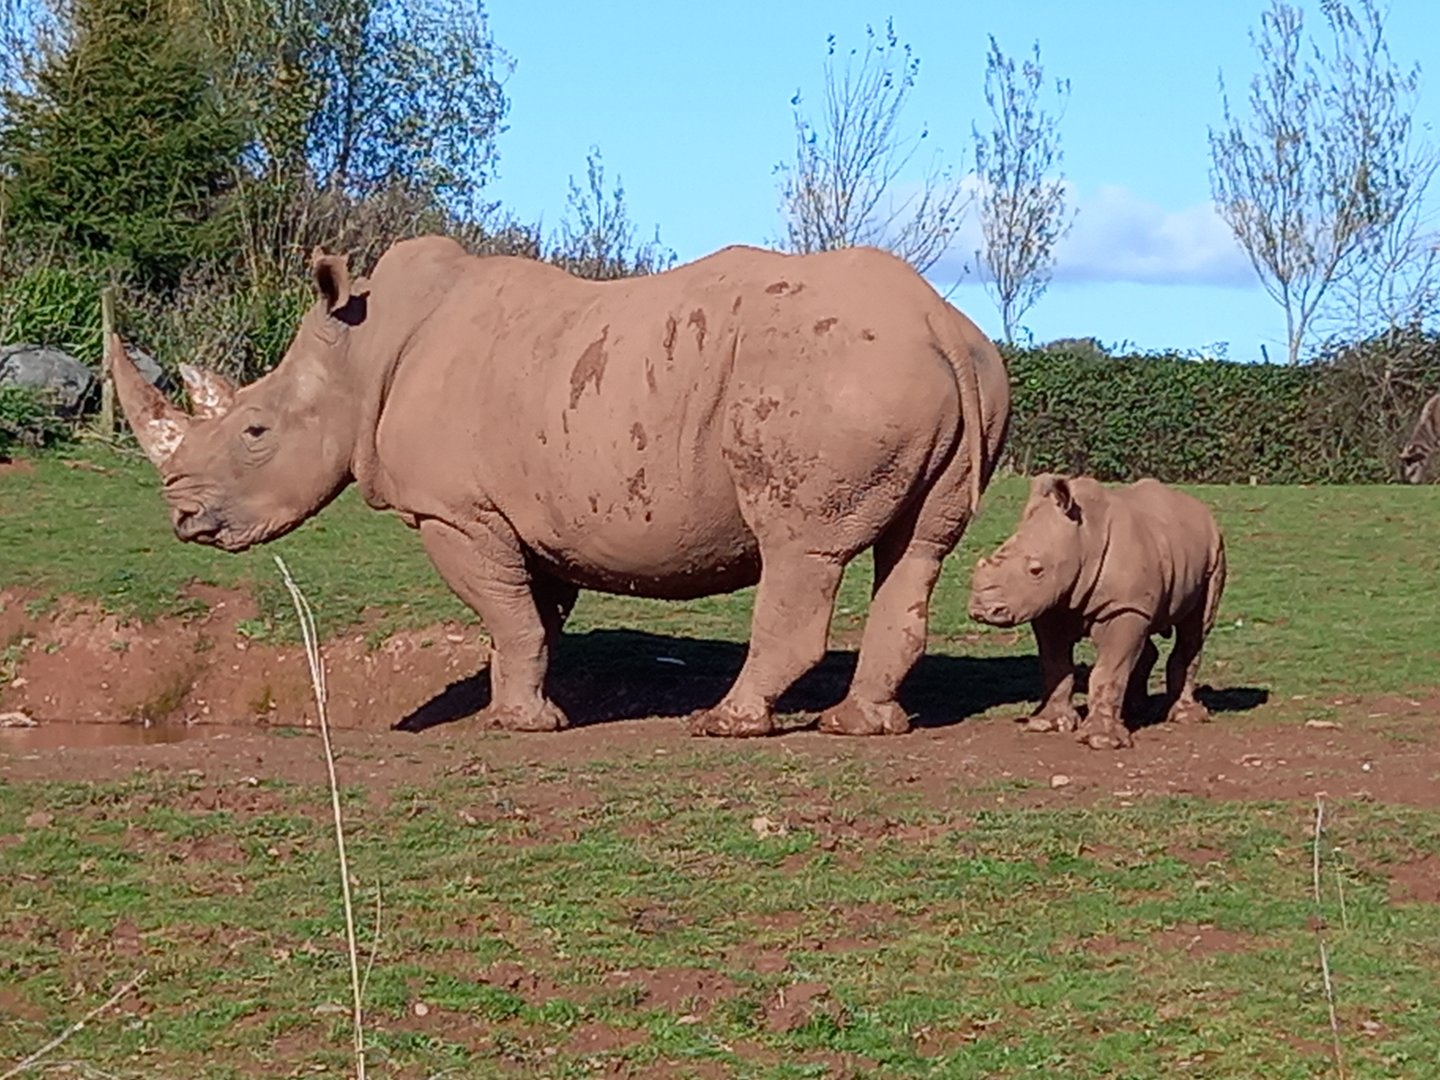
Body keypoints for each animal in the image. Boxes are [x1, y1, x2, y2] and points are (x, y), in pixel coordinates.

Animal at [108, 237, 1011, 737]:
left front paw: (519, 723)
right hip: (929, 373)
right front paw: (524, 708)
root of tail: (939, 325)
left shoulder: (454, 512)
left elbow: (507, 615)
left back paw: (723, 725)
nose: (183, 517)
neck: (358, 355)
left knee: (798, 548)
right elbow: (530, 616)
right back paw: (861, 727)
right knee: (917, 549)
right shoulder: (522, 511)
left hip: (832, 378)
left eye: (255, 433)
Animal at [967, 474, 1226, 750]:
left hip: (1215, 551)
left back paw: (1186, 716)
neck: (1082, 538)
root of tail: (1201, 510)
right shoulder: (1052, 606)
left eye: (1036, 571)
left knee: (1195, 628)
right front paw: (1047, 724)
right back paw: (1135, 710)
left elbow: (1108, 670)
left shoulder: (1122, 607)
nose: (981, 610)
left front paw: (1101, 740)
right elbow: (1055, 664)